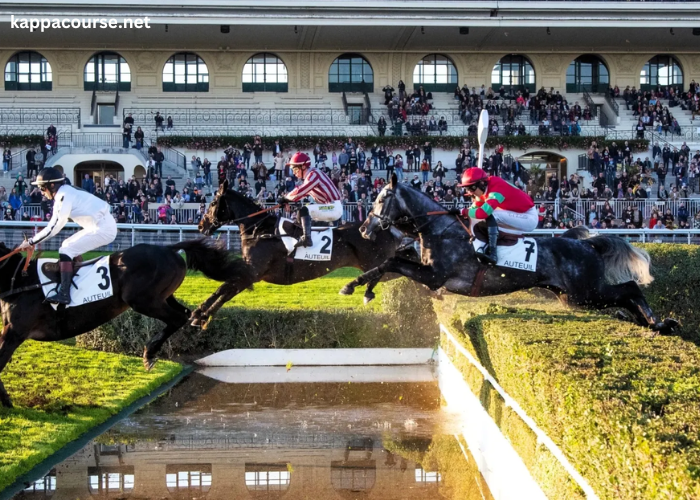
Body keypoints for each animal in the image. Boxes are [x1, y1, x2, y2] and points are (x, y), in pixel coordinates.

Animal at [0, 238, 254, 406]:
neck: (19, 281)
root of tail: (168, 248)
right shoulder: (11, 332)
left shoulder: (15, 332)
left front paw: (7, 404)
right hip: (163, 296)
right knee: (185, 313)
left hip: (143, 300)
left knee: (178, 318)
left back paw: (150, 353)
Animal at [194, 180, 412, 328]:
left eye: (213, 203)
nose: (201, 225)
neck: (259, 230)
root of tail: (385, 227)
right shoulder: (248, 272)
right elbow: (222, 289)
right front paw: (198, 313)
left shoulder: (252, 273)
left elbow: (225, 290)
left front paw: (202, 315)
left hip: (377, 264)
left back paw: (365, 291)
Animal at [342, 174, 680, 334]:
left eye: (382, 198)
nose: (365, 229)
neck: (439, 229)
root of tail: (587, 244)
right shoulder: (424, 268)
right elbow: (389, 263)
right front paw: (362, 287)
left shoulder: (436, 276)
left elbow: (391, 261)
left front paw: (354, 287)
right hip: (574, 298)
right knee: (624, 297)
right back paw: (648, 323)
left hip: (586, 292)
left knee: (631, 288)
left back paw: (659, 323)